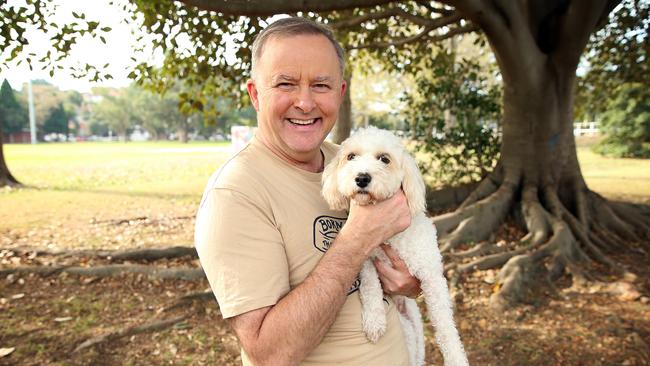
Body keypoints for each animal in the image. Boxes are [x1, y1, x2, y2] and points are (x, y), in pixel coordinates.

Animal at [320, 126, 466, 366]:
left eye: (384, 159)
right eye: (351, 157)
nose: (361, 178)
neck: (391, 237)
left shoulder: (431, 276)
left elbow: (445, 325)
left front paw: (456, 357)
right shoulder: (366, 261)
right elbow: (370, 288)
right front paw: (374, 321)